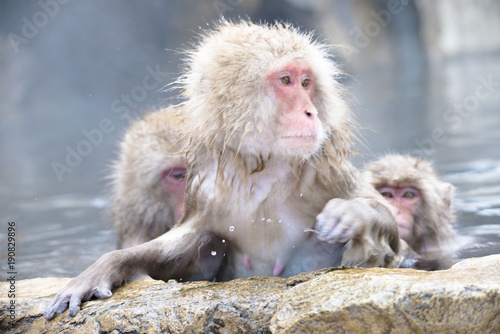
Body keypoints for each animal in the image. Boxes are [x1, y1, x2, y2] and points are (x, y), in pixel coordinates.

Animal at [45, 20, 400, 318]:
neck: (265, 170)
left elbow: (390, 237)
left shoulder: (324, 173)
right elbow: (185, 248)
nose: (311, 112)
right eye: (286, 81)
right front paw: (106, 266)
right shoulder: (208, 191)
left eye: (306, 82)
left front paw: (351, 214)